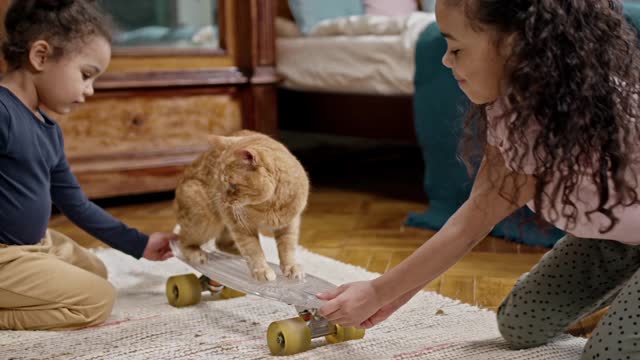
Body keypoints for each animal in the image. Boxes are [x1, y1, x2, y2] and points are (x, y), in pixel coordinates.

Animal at [172, 129, 308, 282]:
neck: (269, 205)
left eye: (232, 185)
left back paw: (237, 253)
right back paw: (196, 254)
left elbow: (288, 248)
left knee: (220, 243)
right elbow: (254, 250)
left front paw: (291, 267)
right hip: (204, 221)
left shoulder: (289, 224)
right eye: (219, 181)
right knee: (182, 240)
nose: (223, 200)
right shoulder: (242, 227)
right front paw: (262, 269)